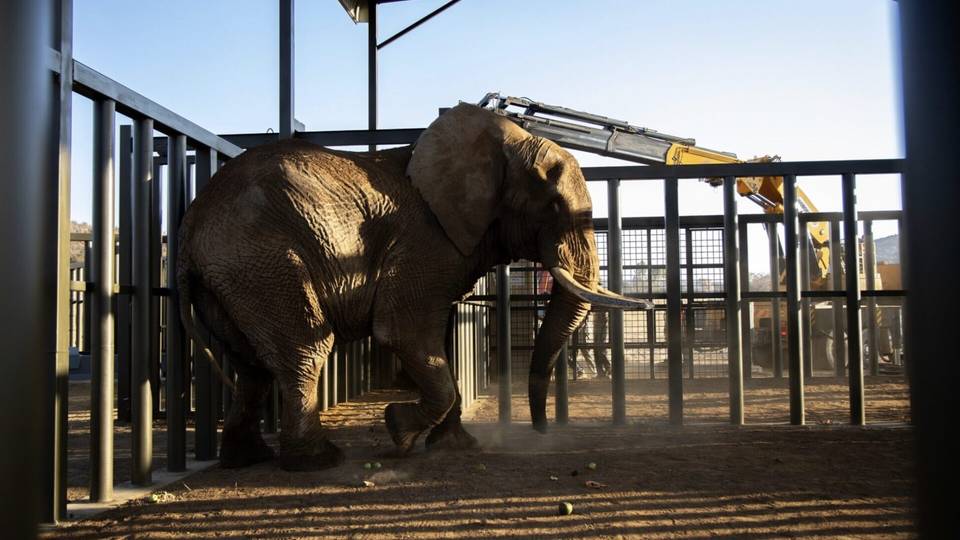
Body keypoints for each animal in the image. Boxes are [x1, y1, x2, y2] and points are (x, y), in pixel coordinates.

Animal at [176, 103, 648, 470]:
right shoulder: (424, 241)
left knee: (251, 363)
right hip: (265, 259)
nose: (541, 431)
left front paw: (456, 447)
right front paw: (399, 432)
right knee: (304, 348)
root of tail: (191, 221)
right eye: (552, 206)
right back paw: (318, 461)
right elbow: (404, 332)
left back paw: (245, 459)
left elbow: (438, 342)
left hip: (233, 276)